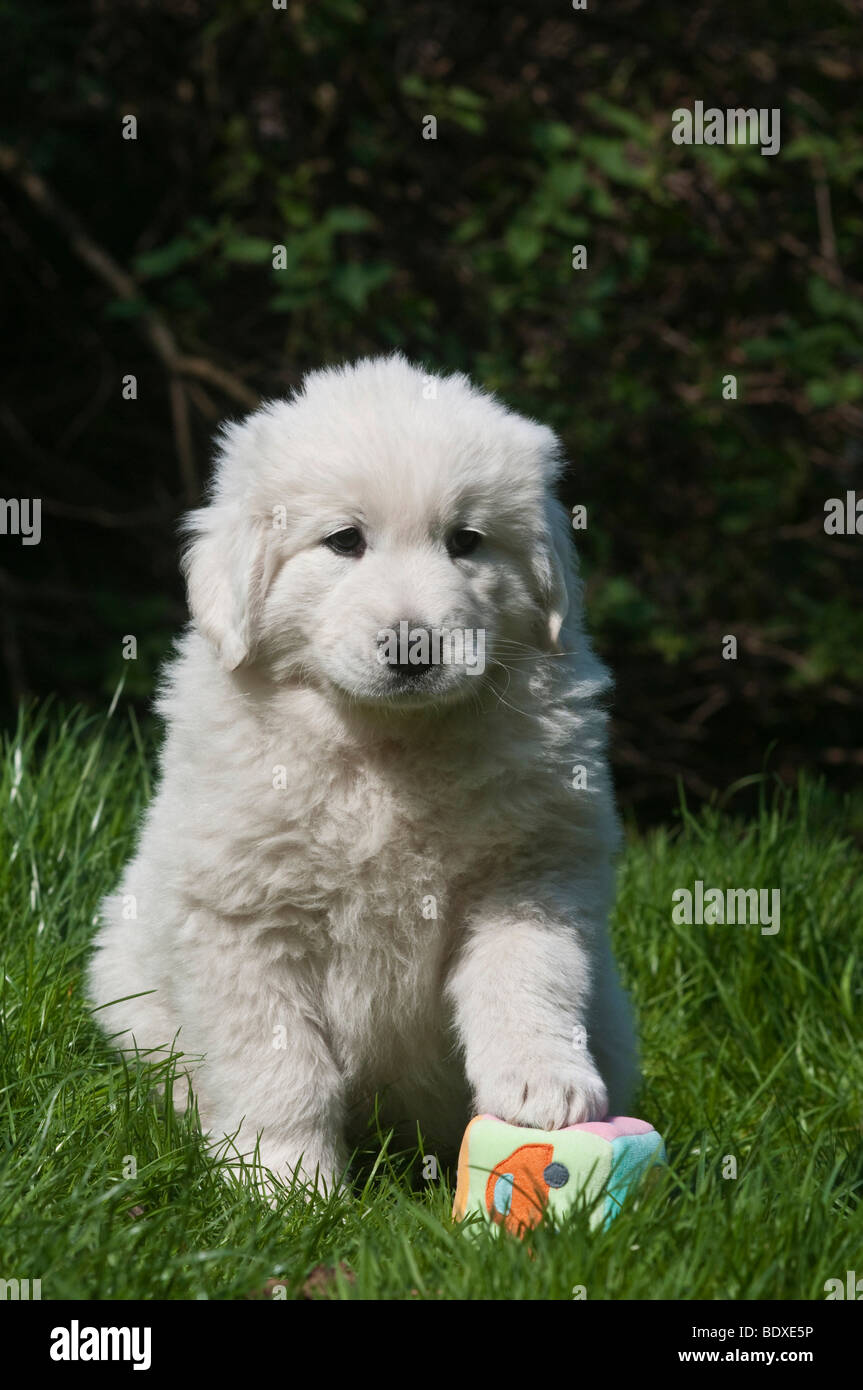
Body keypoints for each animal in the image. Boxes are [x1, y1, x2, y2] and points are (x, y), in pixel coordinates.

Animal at [87, 353, 639, 1189]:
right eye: (344, 542)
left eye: (466, 541)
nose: (414, 649)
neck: (386, 748)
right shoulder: (244, 920)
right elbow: (280, 1067)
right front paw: (285, 1184)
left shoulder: (531, 876)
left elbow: (526, 980)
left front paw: (542, 1088)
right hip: (130, 988)